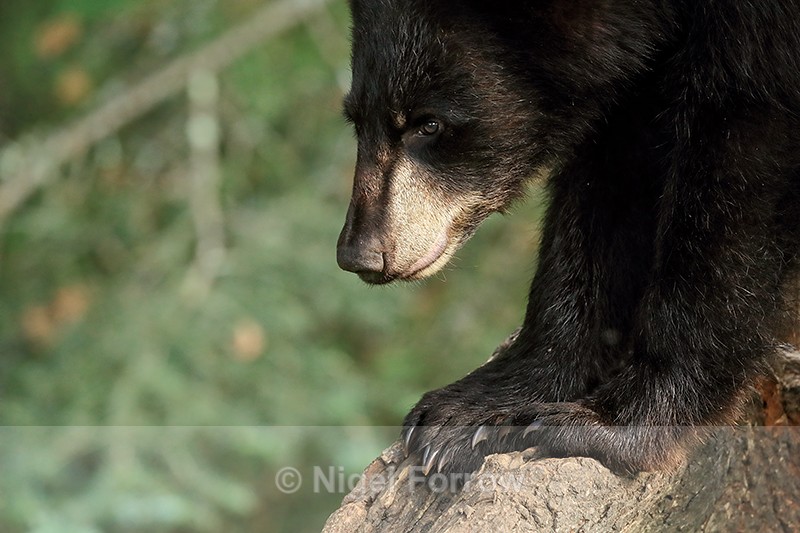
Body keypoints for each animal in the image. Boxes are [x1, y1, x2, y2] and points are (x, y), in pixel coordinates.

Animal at [336, 0, 800, 477]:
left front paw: (608, 422)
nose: (360, 253)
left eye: (428, 124)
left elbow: (738, 158)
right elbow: (611, 175)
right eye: (355, 120)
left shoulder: (761, 36)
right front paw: (477, 408)